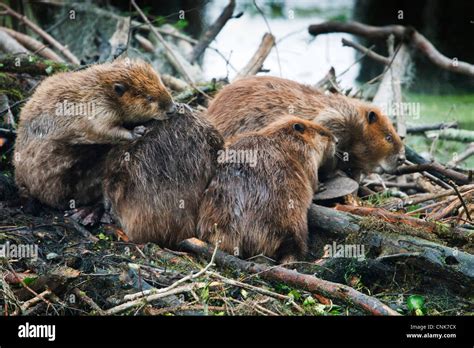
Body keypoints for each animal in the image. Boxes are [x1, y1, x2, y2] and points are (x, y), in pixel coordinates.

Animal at [13, 58, 176, 209]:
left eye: (162, 84)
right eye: (149, 98)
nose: (172, 109)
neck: (102, 88)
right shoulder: (96, 107)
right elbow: (102, 129)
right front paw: (137, 131)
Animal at [196, 115, 336, 262]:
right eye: (322, 133)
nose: (336, 140)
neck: (281, 137)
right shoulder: (305, 154)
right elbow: (311, 178)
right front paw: (320, 186)